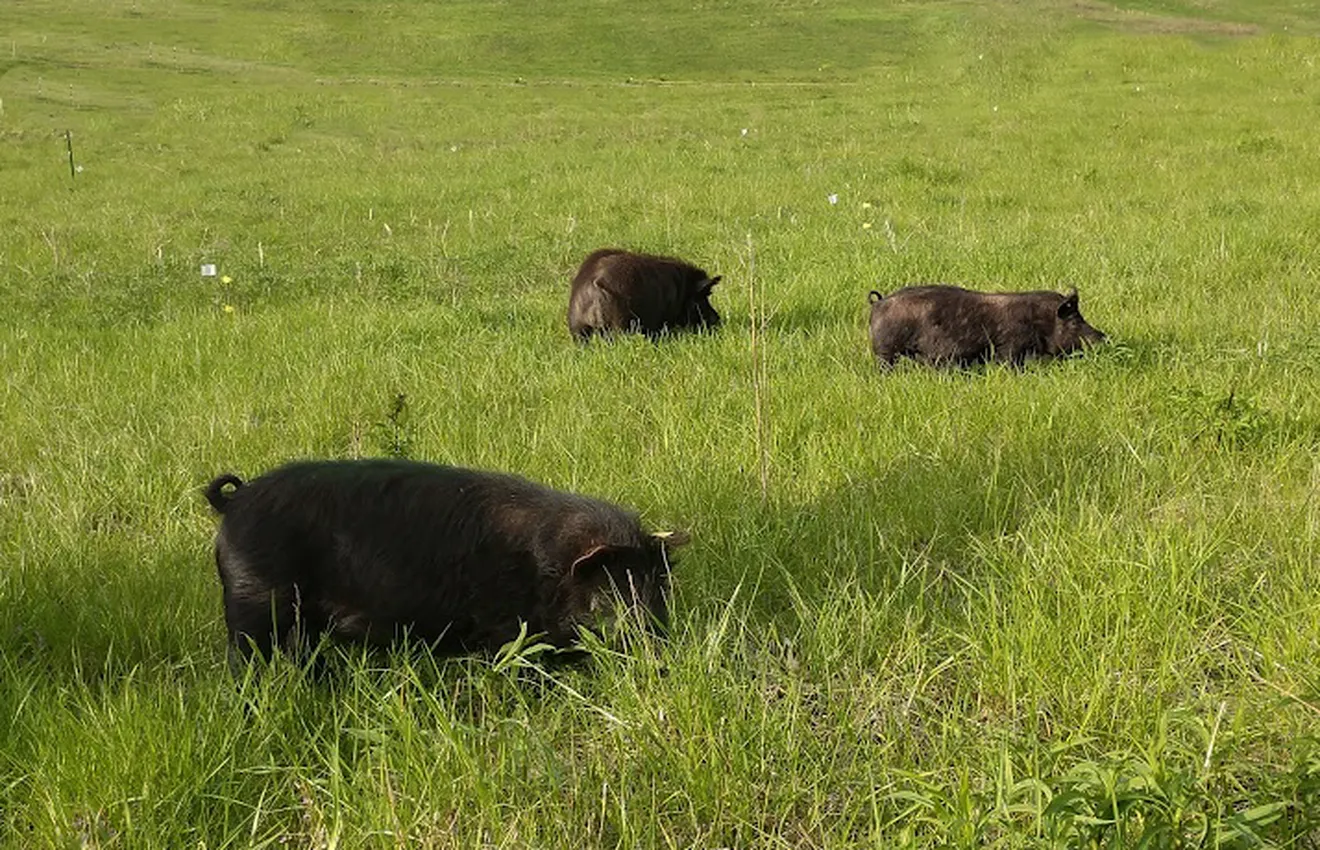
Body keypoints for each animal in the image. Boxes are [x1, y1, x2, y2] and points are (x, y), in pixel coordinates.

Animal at [203, 459, 685, 662]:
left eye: (659, 587)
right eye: (613, 591)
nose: (660, 649)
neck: (549, 564)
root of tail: (235, 502)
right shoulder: (504, 624)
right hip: (253, 600)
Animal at [567, 248, 721, 341]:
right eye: (703, 297)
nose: (718, 319)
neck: (681, 289)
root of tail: (593, 284)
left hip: (578, 330)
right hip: (619, 326)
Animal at [868, 285, 1106, 368]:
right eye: (1074, 321)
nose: (1103, 337)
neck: (1039, 321)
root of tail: (878, 302)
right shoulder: (1010, 348)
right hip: (885, 351)